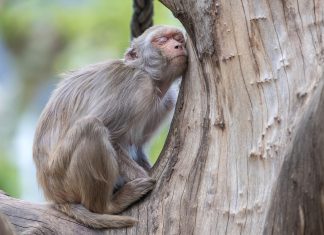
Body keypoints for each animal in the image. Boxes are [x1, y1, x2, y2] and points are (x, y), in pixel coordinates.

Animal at [33, 25, 187, 228]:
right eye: (161, 41)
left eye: (178, 38)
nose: (178, 46)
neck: (151, 78)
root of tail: (54, 195)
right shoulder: (137, 87)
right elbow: (113, 137)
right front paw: (143, 176)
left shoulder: (167, 100)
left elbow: (137, 146)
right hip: (62, 177)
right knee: (92, 127)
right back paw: (107, 206)